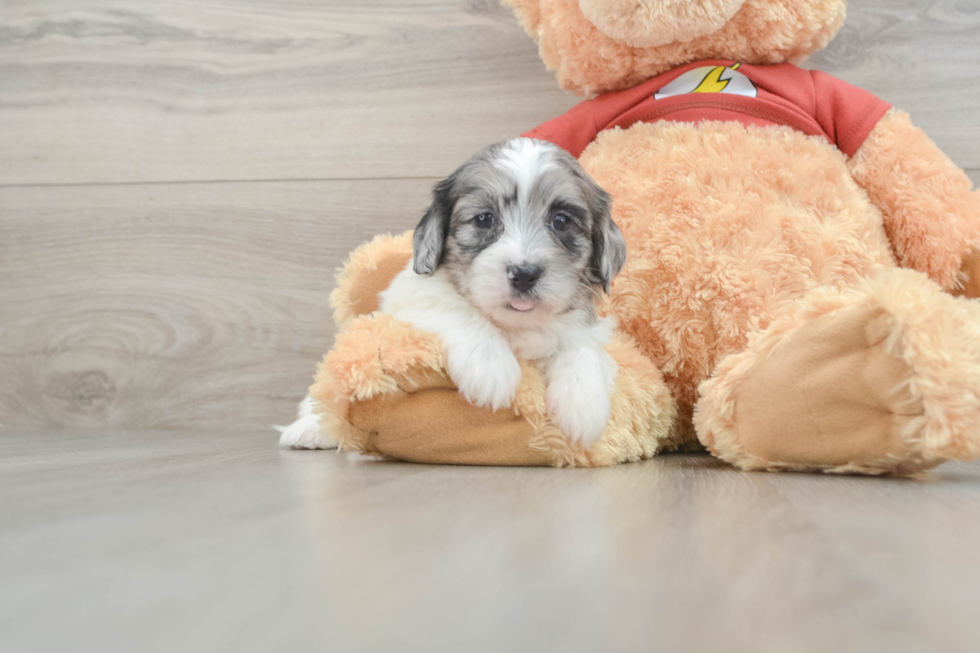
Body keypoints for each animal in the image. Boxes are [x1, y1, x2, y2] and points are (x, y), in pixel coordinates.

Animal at [280, 139, 624, 448]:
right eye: (484, 219)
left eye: (562, 221)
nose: (524, 274)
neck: (513, 327)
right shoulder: (413, 295)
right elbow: (457, 309)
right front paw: (490, 367)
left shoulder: (588, 325)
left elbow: (580, 344)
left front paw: (583, 404)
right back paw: (308, 430)